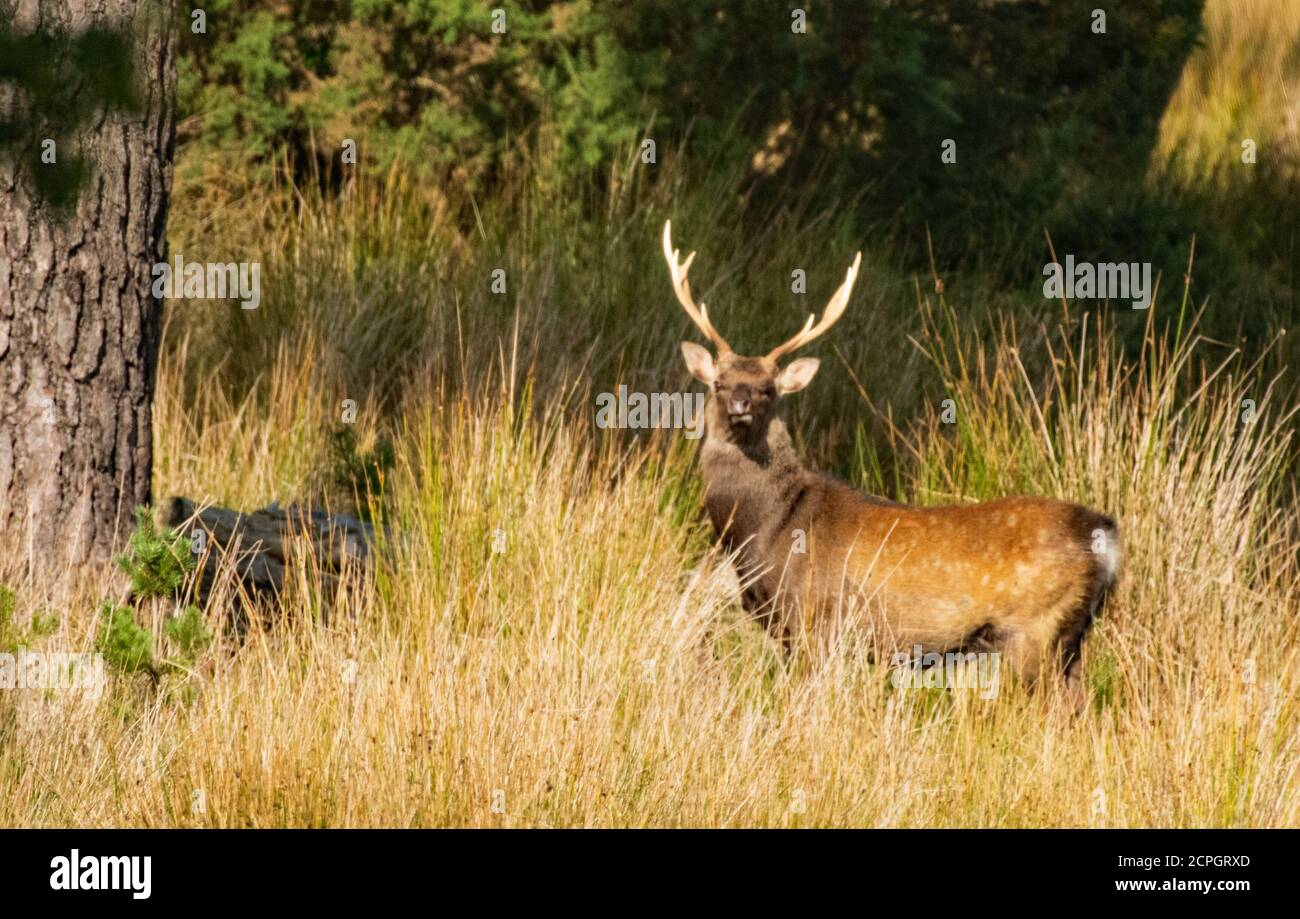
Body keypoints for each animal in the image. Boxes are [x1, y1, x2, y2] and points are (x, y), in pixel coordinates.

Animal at [662, 220, 1120, 710]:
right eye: (719, 382)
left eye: (769, 388)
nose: (741, 404)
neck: (766, 529)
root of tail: (1106, 534)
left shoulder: (814, 622)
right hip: (1071, 638)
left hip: (1037, 630)